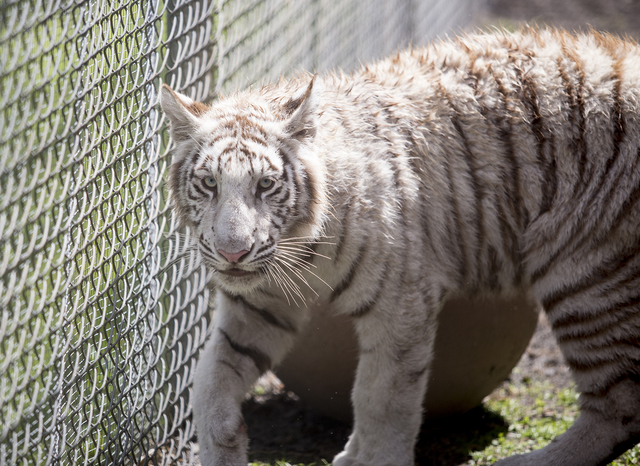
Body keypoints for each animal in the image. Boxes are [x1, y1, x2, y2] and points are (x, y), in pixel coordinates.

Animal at [159, 27, 640, 464]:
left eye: (265, 185)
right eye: (209, 183)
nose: (232, 253)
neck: (302, 248)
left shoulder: (399, 300)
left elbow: (382, 396)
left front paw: (375, 457)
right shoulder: (259, 303)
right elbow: (211, 376)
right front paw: (223, 441)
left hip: (585, 276)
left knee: (619, 406)